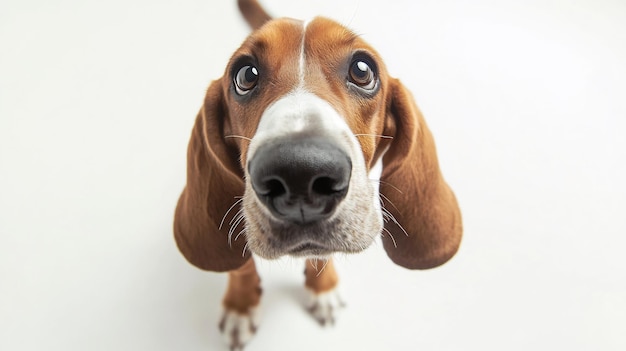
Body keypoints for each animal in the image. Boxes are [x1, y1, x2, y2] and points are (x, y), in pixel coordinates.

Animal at [173, 1, 460, 350]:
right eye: (245, 74)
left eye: (362, 70)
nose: (299, 172)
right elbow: (240, 266)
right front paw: (241, 305)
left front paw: (322, 287)